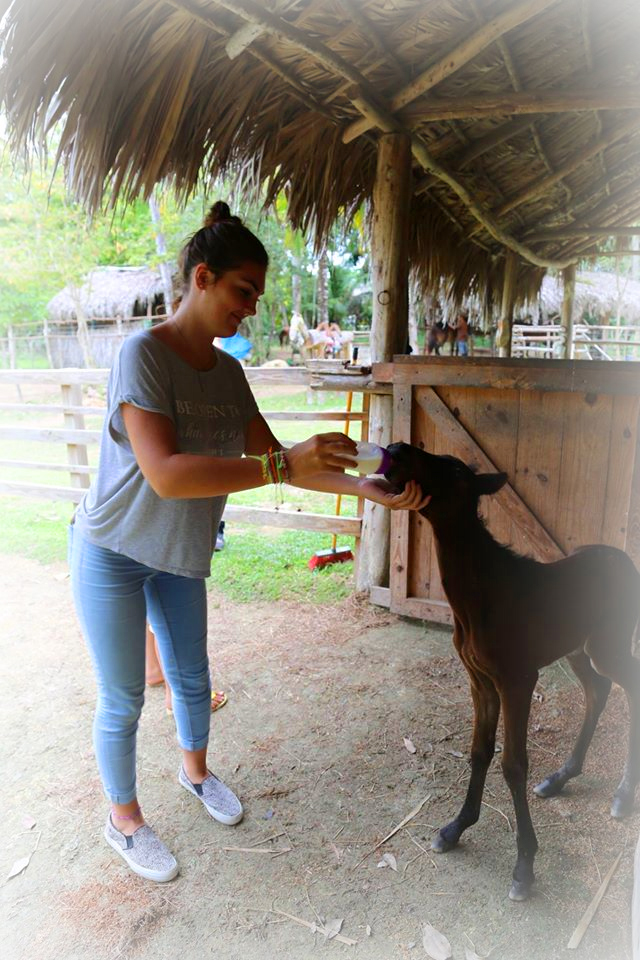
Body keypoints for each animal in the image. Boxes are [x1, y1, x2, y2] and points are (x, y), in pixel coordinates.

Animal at [384, 442, 640, 901]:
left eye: (454, 470)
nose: (395, 450)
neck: (478, 599)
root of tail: (627, 563)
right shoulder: (480, 680)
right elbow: (480, 751)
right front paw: (455, 828)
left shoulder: (518, 679)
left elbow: (514, 764)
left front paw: (524, 864)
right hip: (579, 649)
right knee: (599, 690)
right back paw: (561, 778)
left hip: (608, 644)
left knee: (628, 686)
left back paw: (624, 794)